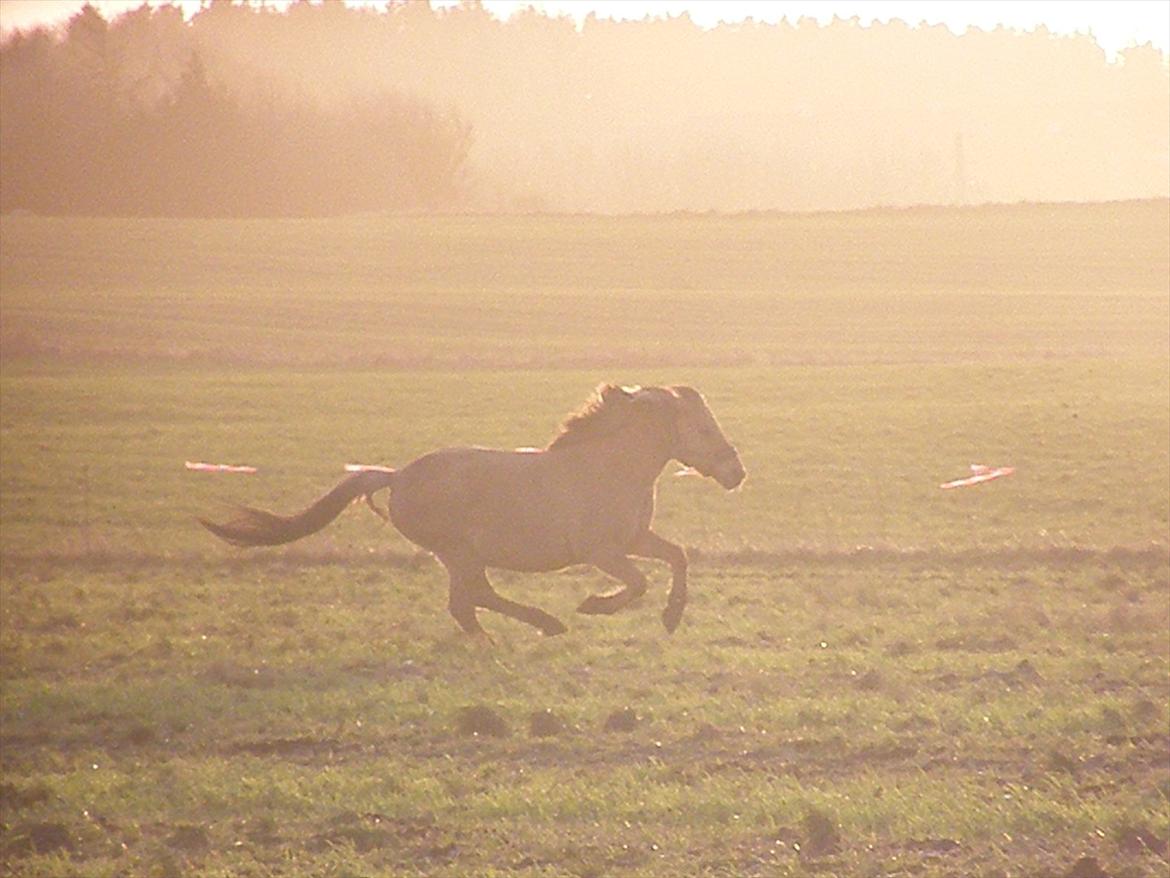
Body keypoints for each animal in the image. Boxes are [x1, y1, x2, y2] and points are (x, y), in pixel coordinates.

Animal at [200, 383, 744, 641]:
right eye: (703, 428)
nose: (735, 472)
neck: (611, 468)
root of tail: (397, 476)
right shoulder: (603, 551)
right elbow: (638, 583)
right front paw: (594, 605)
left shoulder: (635, 541)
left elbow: (677, 558)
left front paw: (672, 617)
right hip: (457, 551)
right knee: (468, 601)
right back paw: (529, 631)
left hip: (461, 555)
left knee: (472, 599)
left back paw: (531, 629)